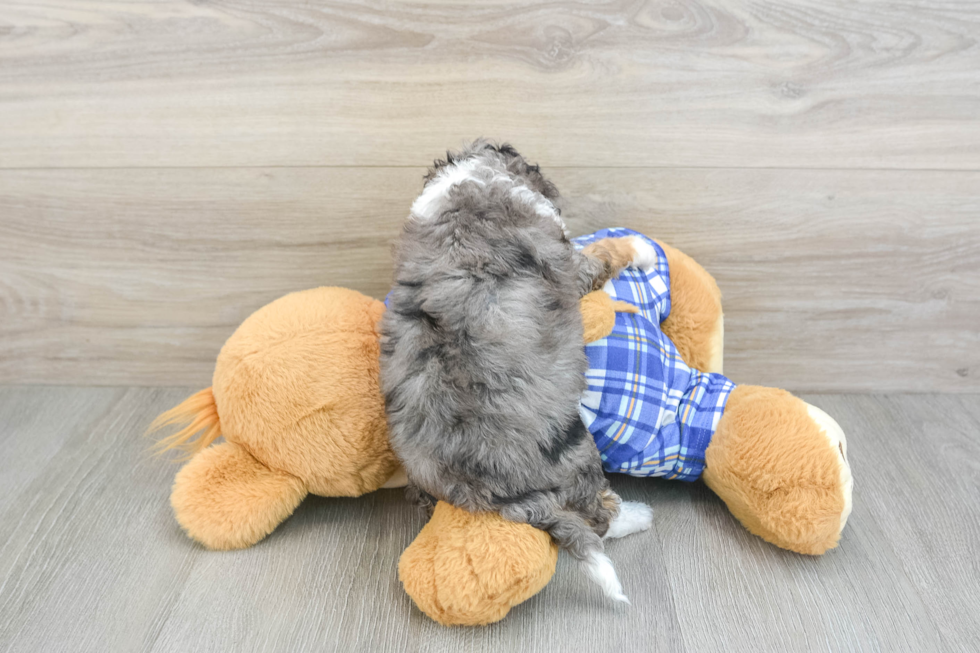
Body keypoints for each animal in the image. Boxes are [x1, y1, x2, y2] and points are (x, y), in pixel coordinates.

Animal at [378, 138, 656, 600]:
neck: (474, 181)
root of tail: (482, 490)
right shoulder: (571, 264)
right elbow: (603, 252)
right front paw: (641, 248)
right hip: (573, 451)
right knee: (597, 516)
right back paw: (637, 514)